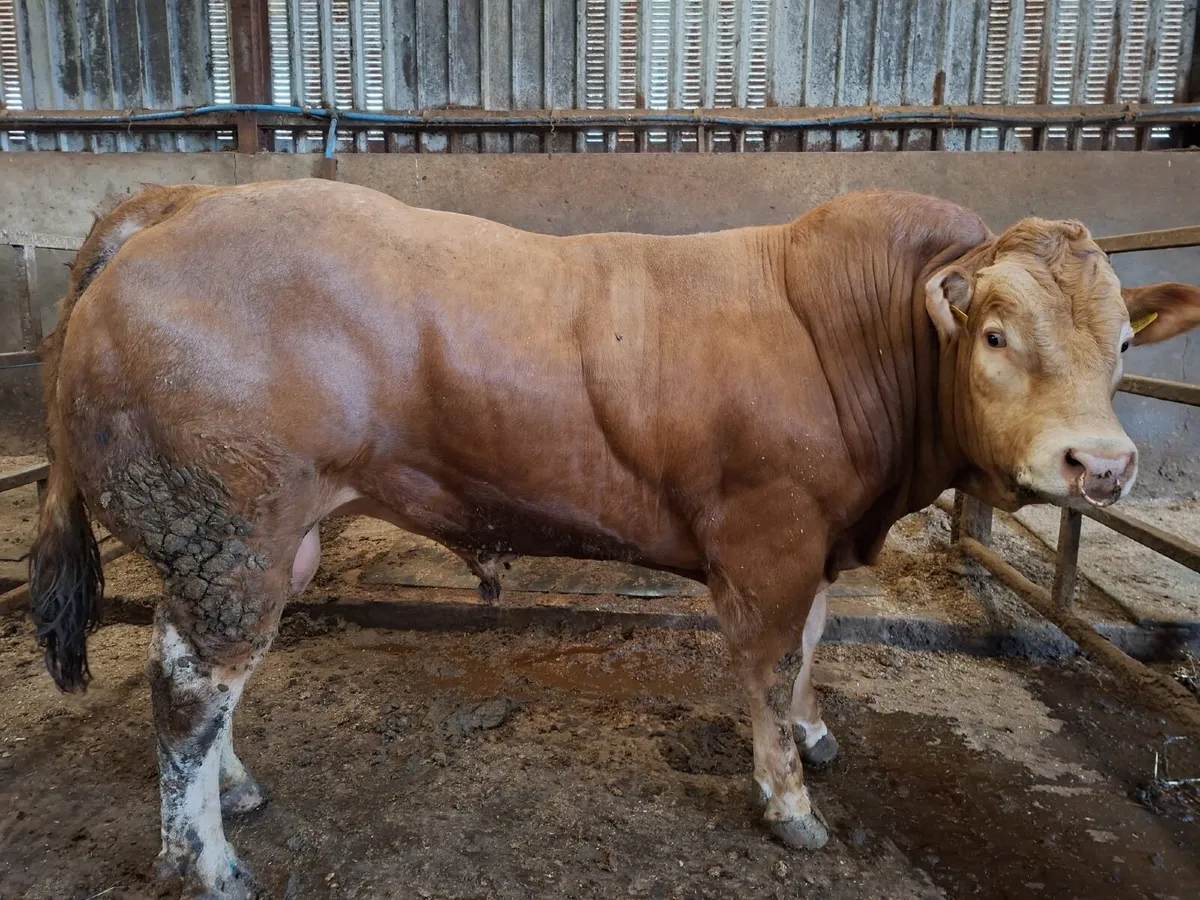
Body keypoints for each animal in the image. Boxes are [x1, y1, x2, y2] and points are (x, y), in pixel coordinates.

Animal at [27, 179, 1200, 899]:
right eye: (996, 335)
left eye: (1126, 342)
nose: (1100, 467)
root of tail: (181, 204)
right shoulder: (768, 537)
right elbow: (770, 664)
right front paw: (789, 800)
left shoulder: (815, 537)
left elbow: (814, 648)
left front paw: (815, 736)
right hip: (230, 527)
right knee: (186, 687)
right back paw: (206, 862)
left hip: (250, 542)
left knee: (213, 678)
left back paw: (235, 792)